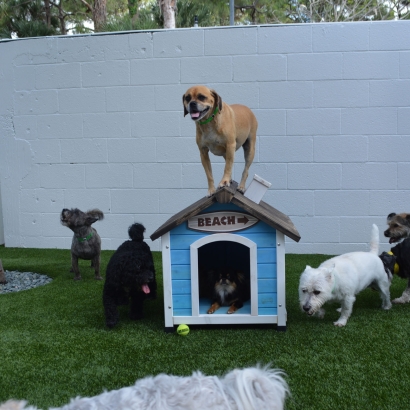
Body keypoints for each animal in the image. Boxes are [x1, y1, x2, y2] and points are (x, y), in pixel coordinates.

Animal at [151, 175, 302, 332]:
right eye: (219, 276)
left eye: (229, 276)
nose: (223, 278)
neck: (225, 289)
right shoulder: (216, 298)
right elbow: (214, 303)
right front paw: (211, 310)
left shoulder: (240, 301)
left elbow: (234, 304)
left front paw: (229, 310)